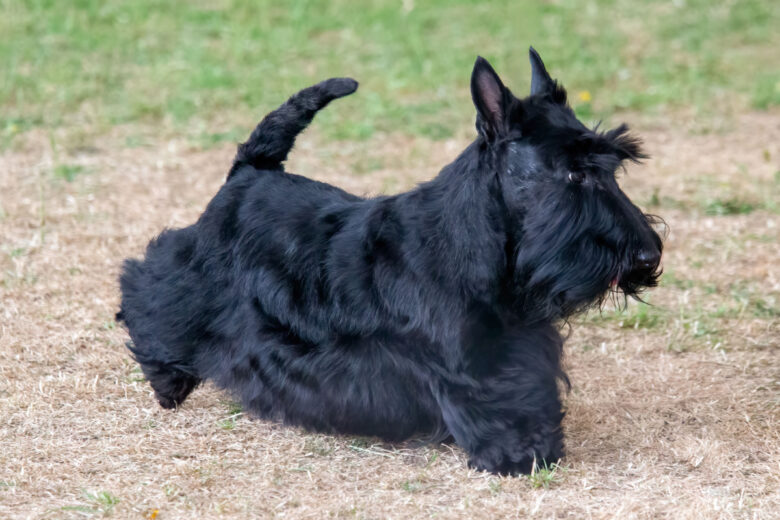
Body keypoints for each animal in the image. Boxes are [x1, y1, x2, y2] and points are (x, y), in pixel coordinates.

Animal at [119, 48, 660, 476]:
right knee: (144, 290)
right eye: (573, 173)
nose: (648, 255)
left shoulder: (522, 347)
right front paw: (517, 454)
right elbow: (494, 404)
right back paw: (168, 382)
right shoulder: (469, 367)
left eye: (612, 167)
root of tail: (250, 172)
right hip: (190, 280)